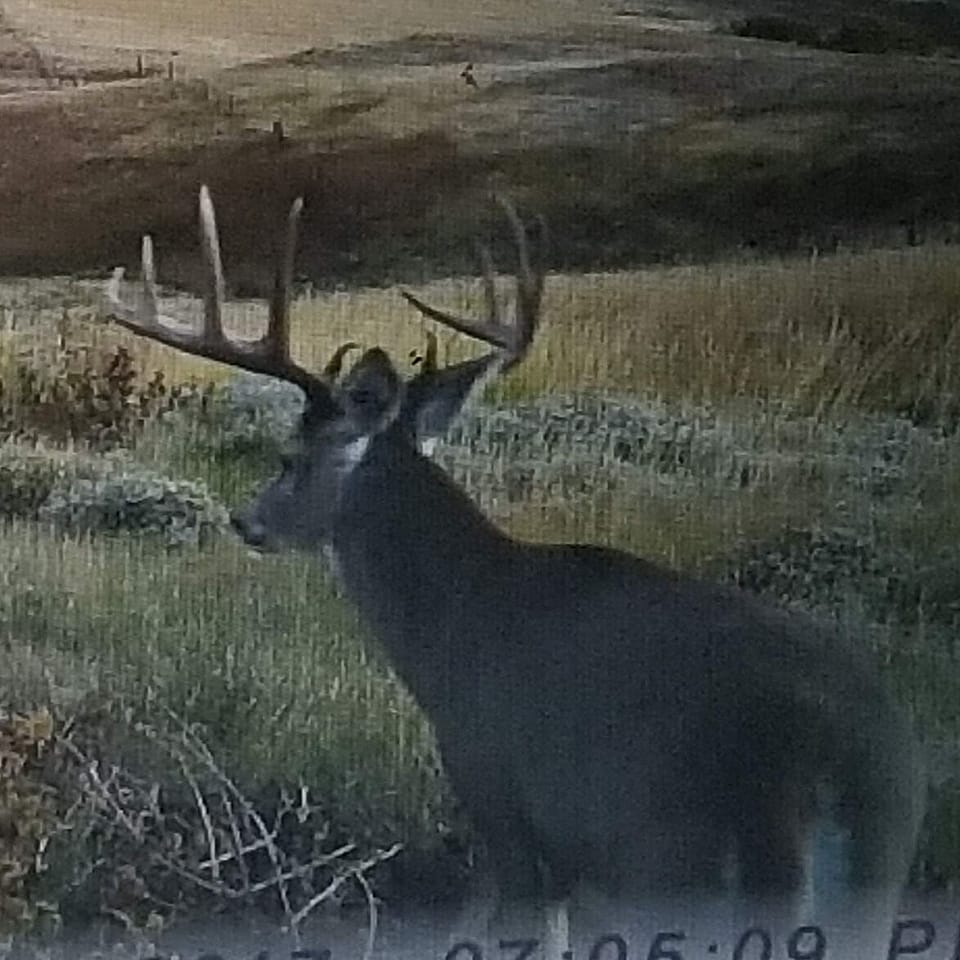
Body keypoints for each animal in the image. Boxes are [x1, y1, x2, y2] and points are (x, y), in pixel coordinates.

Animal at [104, 186, 926, 960]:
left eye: (289, 458)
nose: (247, 521)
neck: (454, 628)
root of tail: (838, 759)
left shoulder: (506, 809)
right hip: (873, 867)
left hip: (696, 864)